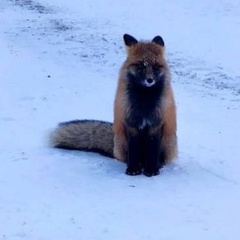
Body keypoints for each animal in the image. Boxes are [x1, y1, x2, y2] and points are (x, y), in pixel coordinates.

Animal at [50, 33, 177, 176]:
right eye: (141, 65)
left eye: (155, 66)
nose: (150, 80)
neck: (144, 102)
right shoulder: (131, 125)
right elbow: (133, 152)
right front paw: (133, 170)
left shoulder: (155, 124)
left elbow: (152, 151)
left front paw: (151, 170)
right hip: (122, 141)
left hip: (169, 140)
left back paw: (157, 165)